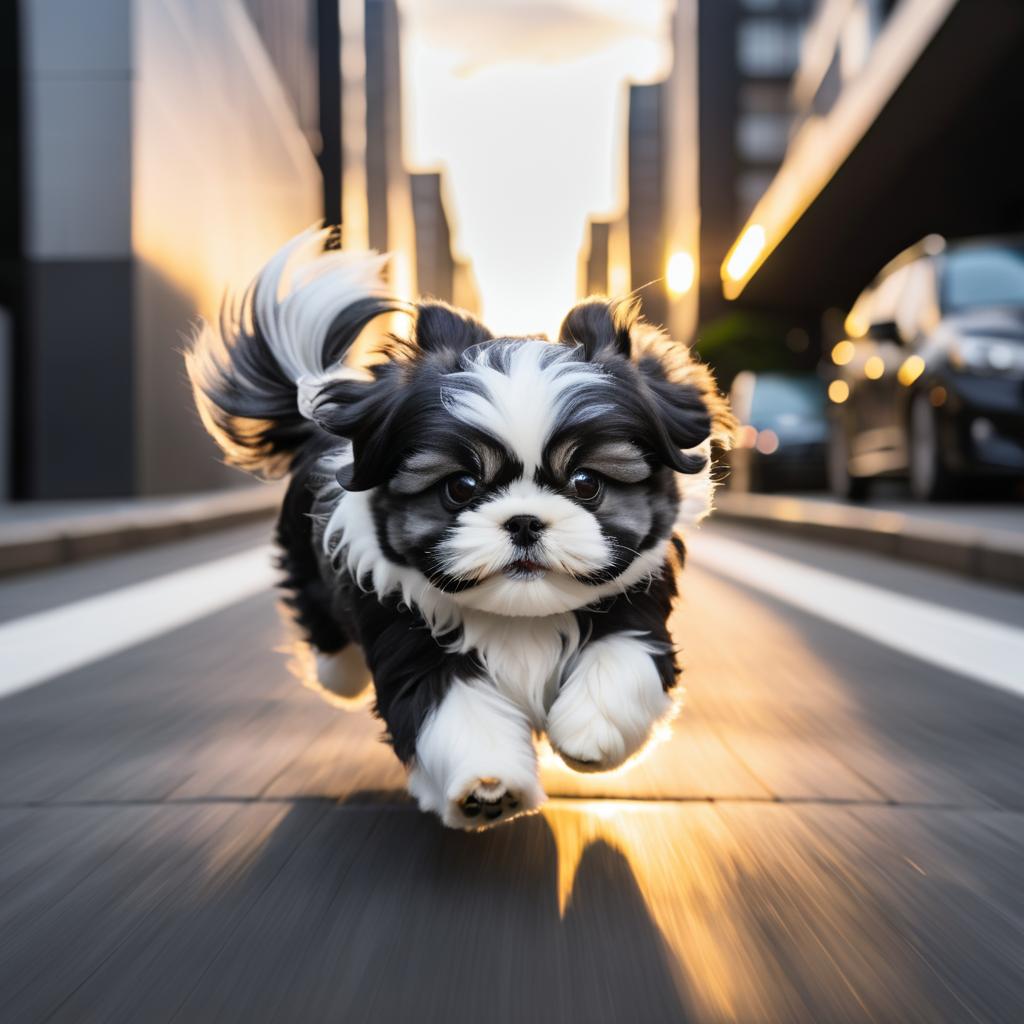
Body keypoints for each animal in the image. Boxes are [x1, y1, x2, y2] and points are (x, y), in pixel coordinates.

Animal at [190, 228, 737, 827]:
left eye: (586, 483)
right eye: (461, 488)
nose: (524, 521)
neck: (520, 617)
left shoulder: (635, 608)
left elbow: (624, 659)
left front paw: (589, 734)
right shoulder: (415, 644)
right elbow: (456, 709)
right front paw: (487, 786)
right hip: (307, 567)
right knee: (325, 629)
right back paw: (340, 676)